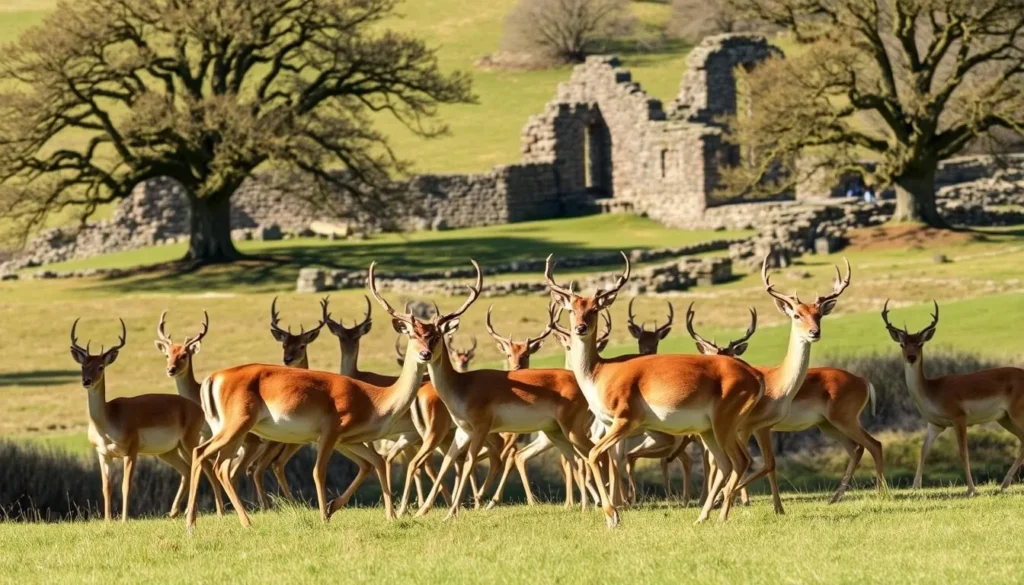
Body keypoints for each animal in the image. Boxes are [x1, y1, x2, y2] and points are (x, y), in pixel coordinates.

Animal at [72, 318, 219, 522]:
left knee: (207, 467)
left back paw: (217, 512)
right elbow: (106, 487)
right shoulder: (103, 454)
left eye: (101, 366)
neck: (109, 419)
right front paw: (108, 520)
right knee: (188, 470)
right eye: (83, 365)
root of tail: (197, 407)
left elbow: (126, 485)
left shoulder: (131, 452)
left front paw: (124, 519)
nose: (86, 381)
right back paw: (176, 512)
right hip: (169, 451)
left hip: (189, 442)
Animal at [184, 263, 440, 535]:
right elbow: (319, 471)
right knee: (203, 454)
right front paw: (325, 516)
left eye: (434, 336)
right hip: (237, 425)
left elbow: (375, 462)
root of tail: (213, 378)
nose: (425, 354)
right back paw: (202, 523)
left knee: (220, 466)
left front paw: (386, 516)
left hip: (234, 431)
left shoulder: (348, 440)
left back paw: (230, 521)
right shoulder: (330, 432)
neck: (374, 400)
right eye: (412, 334)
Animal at [544, 252, 765, 526]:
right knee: (725, 463)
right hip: (709, 428)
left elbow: (595, 454)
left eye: (594, 309)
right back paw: (702, 517)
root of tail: (756, 376)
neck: (599, 373)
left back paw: (720, 516)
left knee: (740, 460)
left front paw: (613, 515)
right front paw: (614, 511)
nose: (580, 328)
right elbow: (610, 458)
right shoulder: (609, 423)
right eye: (571, 309)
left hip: (725, 420)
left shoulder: (627, 417)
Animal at [882, 300, 1024, 496]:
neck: (932, 391)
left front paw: (971, 489)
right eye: (902, 344)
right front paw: (915, 487)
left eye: (920, 343)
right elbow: (923, 450)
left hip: (1017, 413)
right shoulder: (935, 424)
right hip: (1005, 418)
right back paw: (1004, 484)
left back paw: (1003, 484)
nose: (911, 357)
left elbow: (963, 452)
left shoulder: (960, 418)